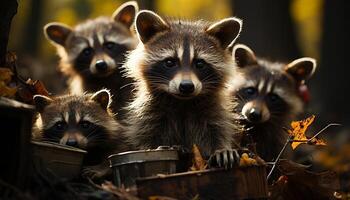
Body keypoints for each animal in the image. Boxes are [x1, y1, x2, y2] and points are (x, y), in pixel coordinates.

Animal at [123, 10, 243, 167]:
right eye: (169, 62)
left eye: (200, 63)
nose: (186, 86)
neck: (183, 102)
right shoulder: (148, 113)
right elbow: (146, 138)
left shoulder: (213, 111)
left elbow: (217, 130)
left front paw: (221, 149)